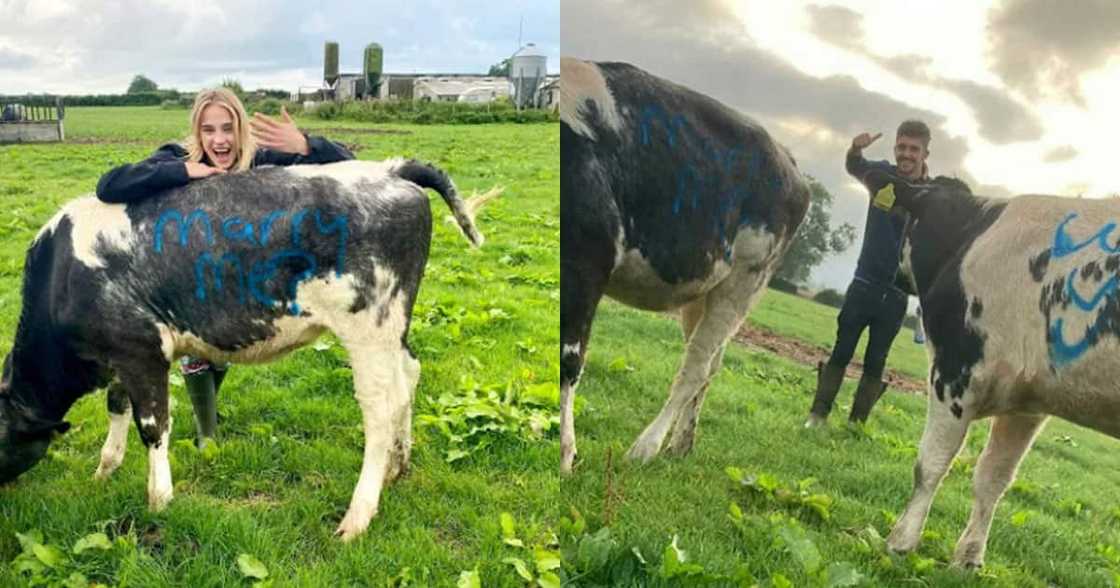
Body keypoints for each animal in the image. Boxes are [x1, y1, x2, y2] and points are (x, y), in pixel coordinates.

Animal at [0, 159, 495, 541]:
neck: (62, 278)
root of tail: (390, 168)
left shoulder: (141, 350)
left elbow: (153, 426)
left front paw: (159, 500)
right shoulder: (120, 355)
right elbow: (117, 408)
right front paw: (104, 471)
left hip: (368, 328)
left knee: (381, 408)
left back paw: (357, 517)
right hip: (395, 327)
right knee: (409, 375)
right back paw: (399, 465)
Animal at [559, 58, 810, 472]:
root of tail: (788, 158)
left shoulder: (588, 259)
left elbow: (569, 359)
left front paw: (565, 456)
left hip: (745, 281)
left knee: (695, 368)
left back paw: (646, 447)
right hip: (703, 288)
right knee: (712, 362)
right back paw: (681, 444)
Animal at [859, 168, 1120, 568]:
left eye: (906, 221)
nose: (896, 277)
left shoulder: (955, 371)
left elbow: (930, 463)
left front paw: (900, 542)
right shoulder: (1027, 401)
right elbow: (993, 477)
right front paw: (967, 560)